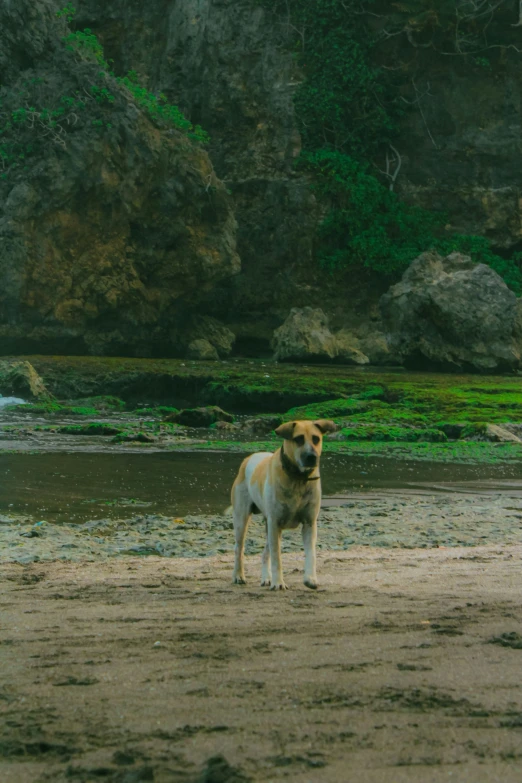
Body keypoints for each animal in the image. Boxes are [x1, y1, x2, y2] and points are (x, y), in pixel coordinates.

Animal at [229, 420, 336, 592]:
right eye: (298, 439)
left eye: (316, 439)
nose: (312, 457)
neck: (298, 478)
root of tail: (248, 459)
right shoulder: (275, 522)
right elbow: (276, 556)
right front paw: (278, 582)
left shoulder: (309, 523)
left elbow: (311, 552)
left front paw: (310, 579)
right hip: (241, 518)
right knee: (239, 548)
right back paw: (238, 576)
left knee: (264, 553)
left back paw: (266, 578)